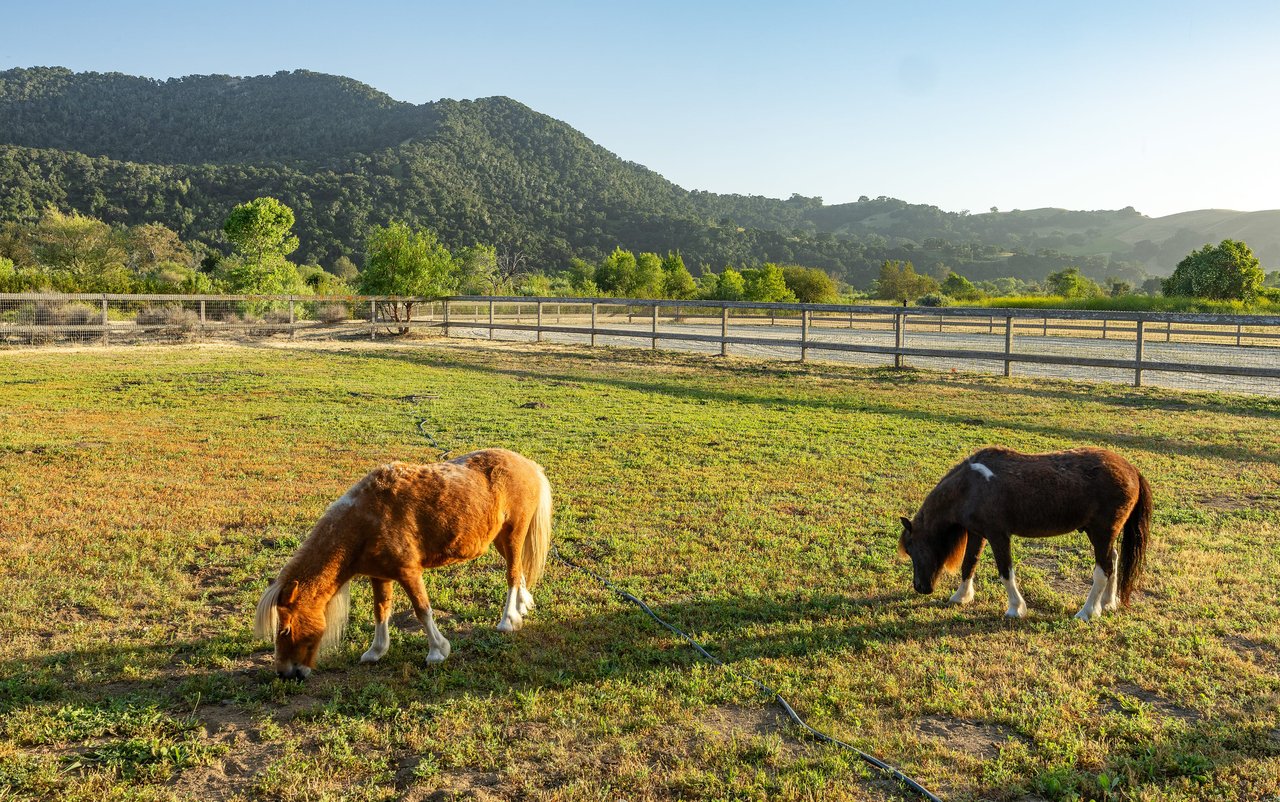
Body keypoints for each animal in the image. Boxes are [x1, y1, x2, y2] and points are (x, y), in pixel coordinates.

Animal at [250, 447, 550, 680]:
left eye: (285, 629)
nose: (285, 673)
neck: (365, 521)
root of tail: (528, 464)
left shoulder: (409, 572)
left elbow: (422, 610)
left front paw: (437, 651)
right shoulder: (380, 575)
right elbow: (380, 611)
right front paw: (376, 651)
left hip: (513, 534)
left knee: (512, 575)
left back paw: (508, 621)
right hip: (499, 539)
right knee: (519, 571)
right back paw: (522, 607)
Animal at [896, 447, 1157, 624]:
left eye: (911, 549)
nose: (920, 587)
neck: (971, 486)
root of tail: (1132, 470)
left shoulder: (998, 535)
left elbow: (1005, 573)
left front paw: (1015, 608)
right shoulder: (977, 534)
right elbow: (969, 564)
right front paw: (961, 596)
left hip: (1101, 534)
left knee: (1103, 570)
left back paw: (1088, 612)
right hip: (1105, 535)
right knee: (1113, 560)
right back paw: (1108, 603)